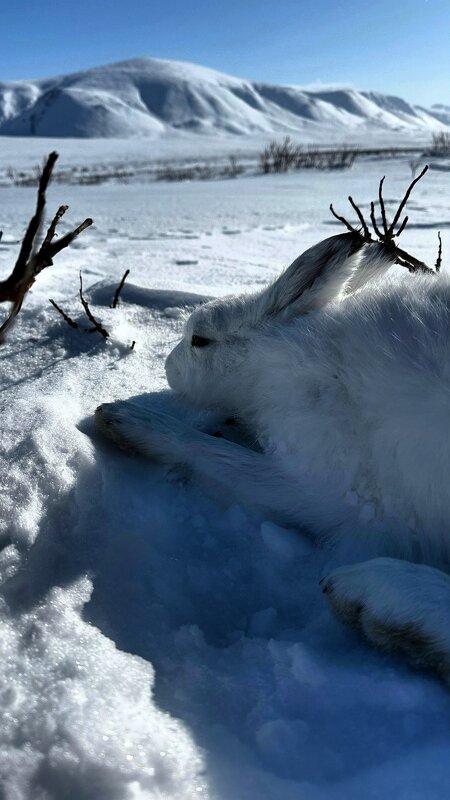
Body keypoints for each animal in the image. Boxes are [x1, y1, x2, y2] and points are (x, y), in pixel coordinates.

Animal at [96, 229, 450, 681]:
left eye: (200, 340)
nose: (168, 366)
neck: (272, 360)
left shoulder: (322, 480)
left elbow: (215, 454)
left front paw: (127, 419)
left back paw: (380, 598)